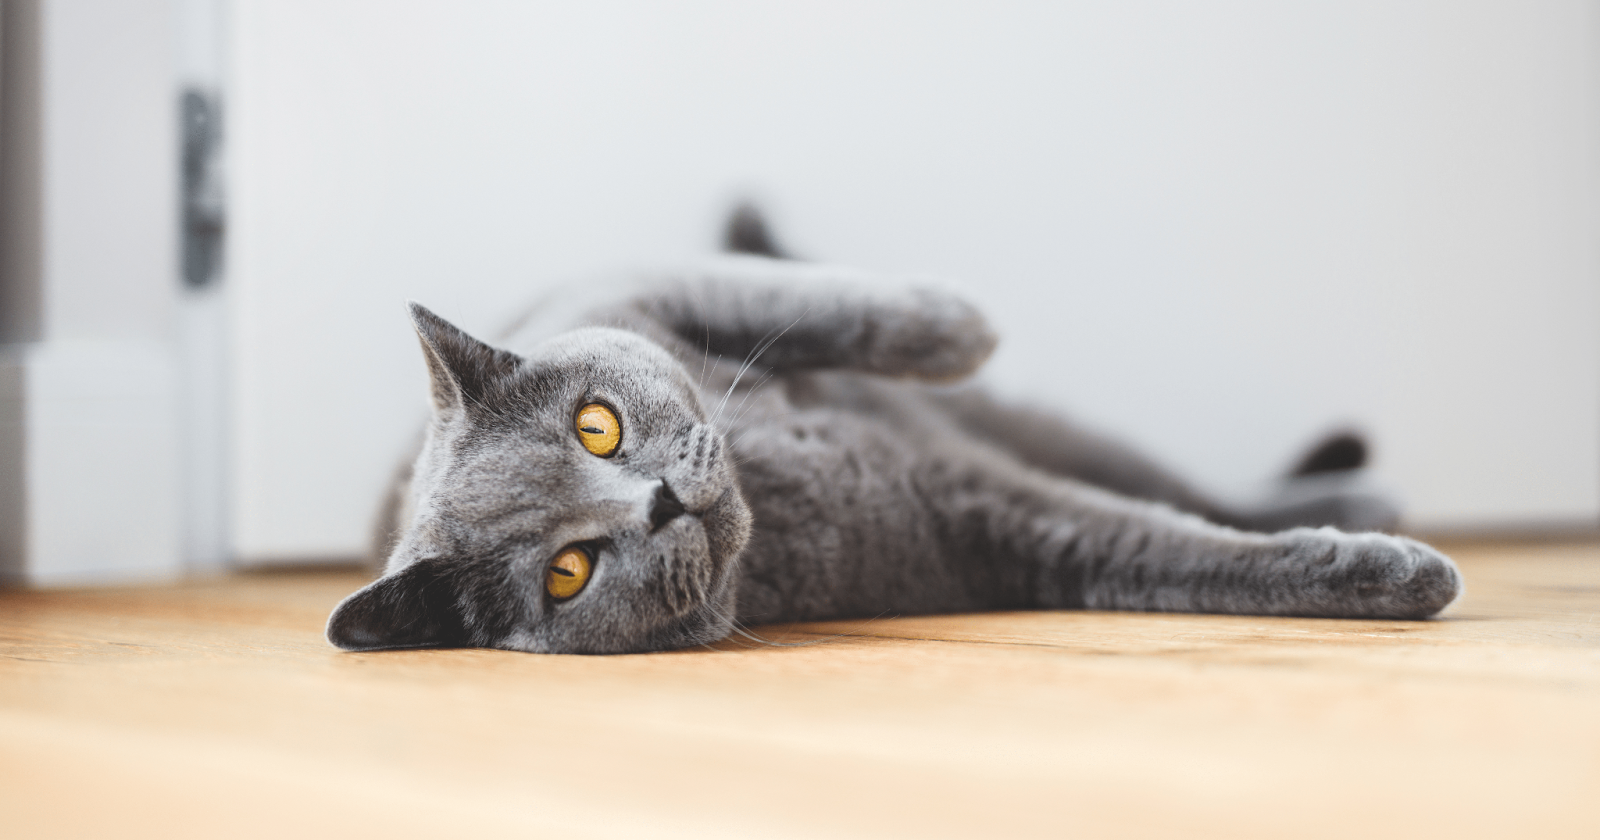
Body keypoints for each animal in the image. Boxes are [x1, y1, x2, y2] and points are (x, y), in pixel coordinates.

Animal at [324, 211, 1465, 656]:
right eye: (568, 571)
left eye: (595, 426)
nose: (661, 499)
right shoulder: (994, 529)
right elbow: (1171, 553)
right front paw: (1395, 577)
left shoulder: (641, 286)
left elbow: (820, 298)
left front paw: (960, 326)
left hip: (1044, 423)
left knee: (1191, 484)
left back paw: (1354, 485)